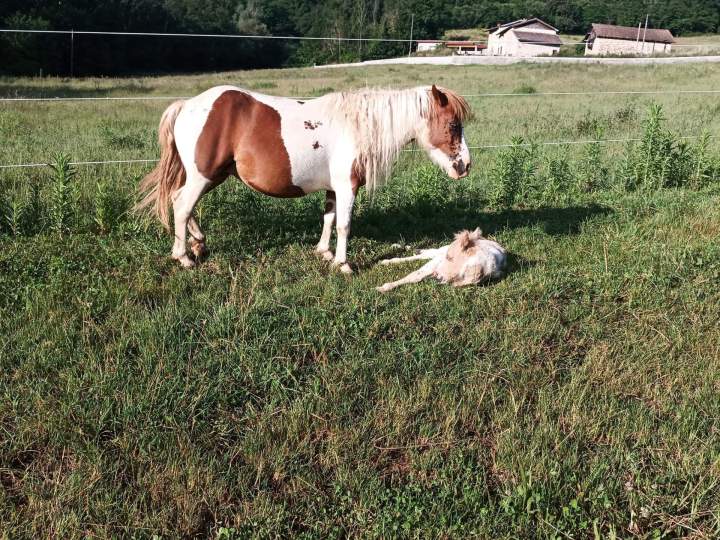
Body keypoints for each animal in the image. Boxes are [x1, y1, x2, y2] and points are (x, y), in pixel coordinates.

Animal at [137, 84, 471, 272]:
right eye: (453, 125)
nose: (465, 166)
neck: (358, 125)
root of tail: (186, 105)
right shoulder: (347, 186)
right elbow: (345, 225)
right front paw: (343, 264)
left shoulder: (334, 188)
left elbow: (329, 218)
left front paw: (324, 252)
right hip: (203, 176)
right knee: (182, 206)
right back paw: (183, 257)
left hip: (210, 176)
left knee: (181, 203)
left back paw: (199, 243)